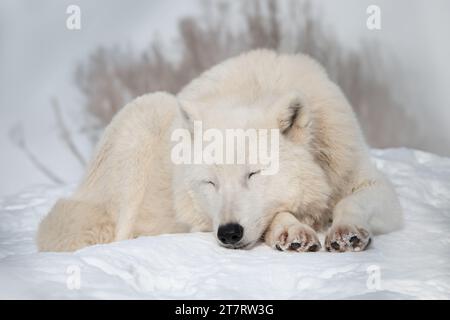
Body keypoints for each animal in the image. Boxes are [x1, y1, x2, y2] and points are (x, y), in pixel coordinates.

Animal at [37, 50, 402, 252]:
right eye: (210, 183)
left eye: (253, 174)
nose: (228, 233)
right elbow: (277, 216)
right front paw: (292, 231)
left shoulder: (364, 178)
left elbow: (352, 201)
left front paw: (346, 233)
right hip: (142, 122)